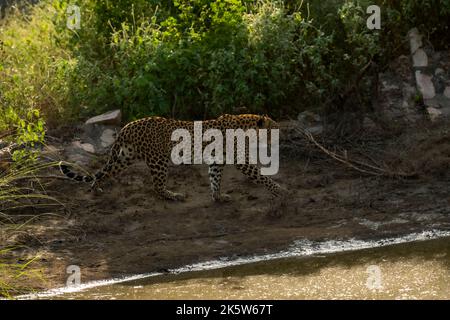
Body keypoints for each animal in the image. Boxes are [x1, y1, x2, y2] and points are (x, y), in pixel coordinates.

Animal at [59, 114, 284, 201]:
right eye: (274, 129)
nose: (281, 138)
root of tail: (127, 126)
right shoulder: (241, 161)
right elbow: (260, 175)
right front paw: (280, 190)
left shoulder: (217, 161)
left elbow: (215, 179)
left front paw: (218, 197)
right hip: (158, 159)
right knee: (156, 187)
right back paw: (174, 195)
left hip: (125, 157)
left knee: (104, 173)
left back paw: (95, 188)